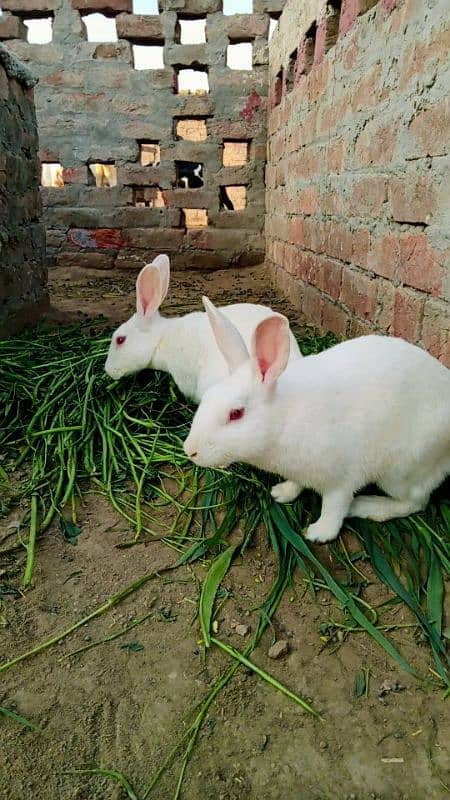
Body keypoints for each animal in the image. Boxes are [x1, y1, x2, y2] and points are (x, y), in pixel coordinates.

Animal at [184, 298, 450, 544]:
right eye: (207, 397)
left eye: (236, 413)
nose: (189, 450)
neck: (283, 419)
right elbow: (296, 483)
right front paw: (281, 493)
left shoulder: (342, 480)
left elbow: (334, 508)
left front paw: (318, 533)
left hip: (401, 471)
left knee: (415, 502)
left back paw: (365, 505)